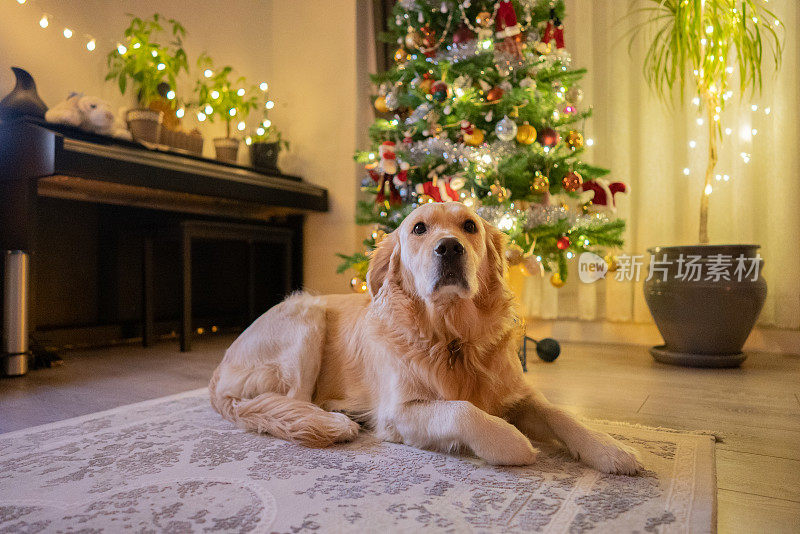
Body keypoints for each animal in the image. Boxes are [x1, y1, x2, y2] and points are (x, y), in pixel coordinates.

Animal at [208, 203, 644, 476]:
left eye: (469, 226)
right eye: (419, 228)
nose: (449, 247)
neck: (452, 338)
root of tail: (218, 372)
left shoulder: (518, 394)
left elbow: (561, 414)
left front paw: (611, 448)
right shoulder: (399, 411)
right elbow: (462, 410)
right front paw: (511, 442)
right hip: (307, 314)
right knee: (291, 401)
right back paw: (334, 420)